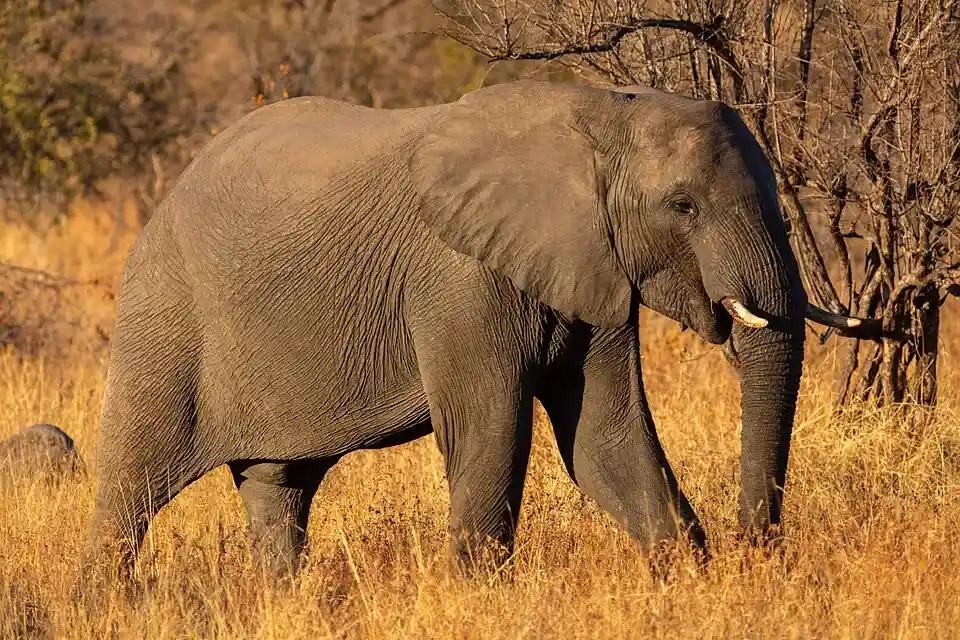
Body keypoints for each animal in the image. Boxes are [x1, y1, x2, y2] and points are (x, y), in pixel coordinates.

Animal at [82, 80, 862, 587]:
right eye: (683, 206)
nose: (756, 551)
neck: (603, 117)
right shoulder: (458, 278)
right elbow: (492, 431)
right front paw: (484, 602)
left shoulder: (589, 264)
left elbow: (606, 438)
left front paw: (692, 585)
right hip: (165, 313)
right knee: (131, 486)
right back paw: (106, 606)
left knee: (279, 489)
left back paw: (283, 606)